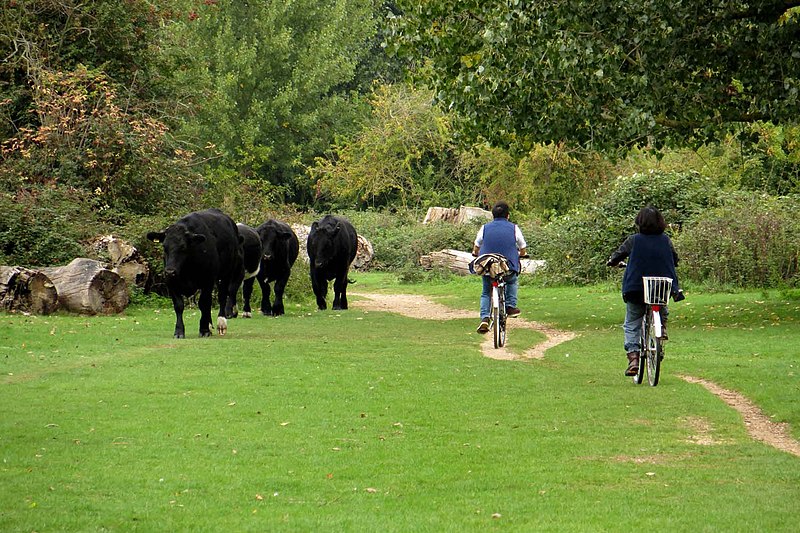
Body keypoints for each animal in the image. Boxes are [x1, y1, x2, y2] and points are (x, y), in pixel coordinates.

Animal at [145, 208, 242, 336]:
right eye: (164, 247)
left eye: (183, 247)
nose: (170, 271)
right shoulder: (171, 282)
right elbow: (179, 305)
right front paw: (179, 331)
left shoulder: (207, 280)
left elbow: (204, 303)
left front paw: (204, 329)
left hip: (226, 273)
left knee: (222, 296)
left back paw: (221, 323)